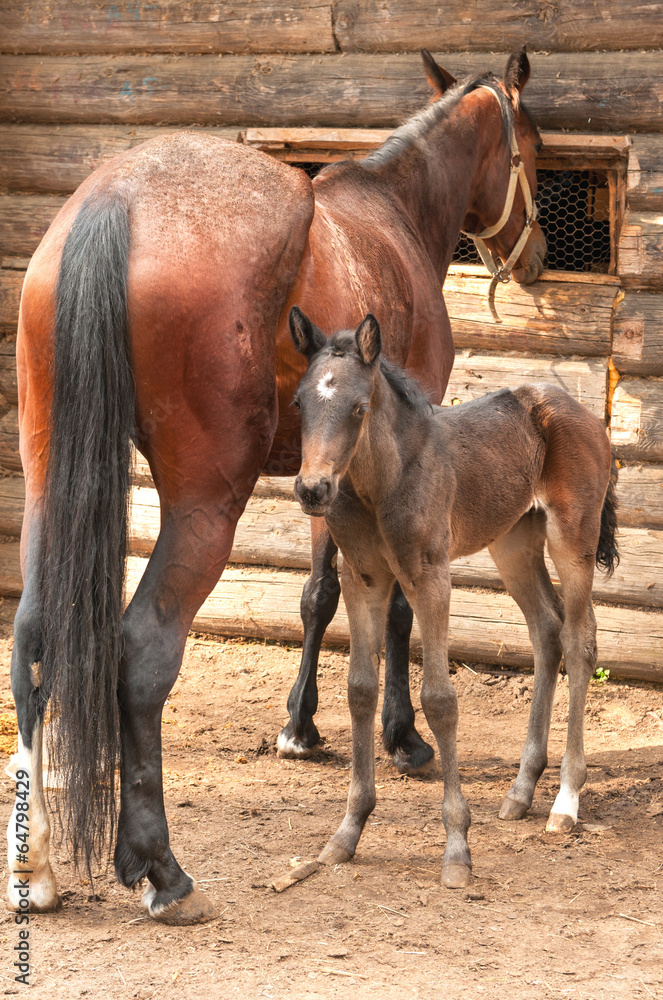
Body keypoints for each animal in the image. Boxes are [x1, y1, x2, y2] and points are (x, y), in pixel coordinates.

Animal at [8, 48, 545, 925]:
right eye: (530, 149)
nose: (533, 257)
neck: (392, 214)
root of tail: (117, 198)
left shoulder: (331, 479)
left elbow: (319, 597)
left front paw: (302, 725)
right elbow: (385, 608)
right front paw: (400, 737)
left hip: (48, 489)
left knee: (31, 638)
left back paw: (36, 865)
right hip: (204, 507)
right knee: (142, 651)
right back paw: (159, 869)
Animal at [288, 307, 618, 888]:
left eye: (359, 407)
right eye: (300, 403)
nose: (313, 489)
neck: (380, 482)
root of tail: (577, 409)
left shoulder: (430, 577)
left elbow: (440, 700)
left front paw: (458, 849)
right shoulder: (364, 580)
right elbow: (359, 690)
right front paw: (347, 833)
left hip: (572, 539)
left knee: (581, 641)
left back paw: (565, 800)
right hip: (513, 542)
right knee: (547, 631)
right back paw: (521, 791)